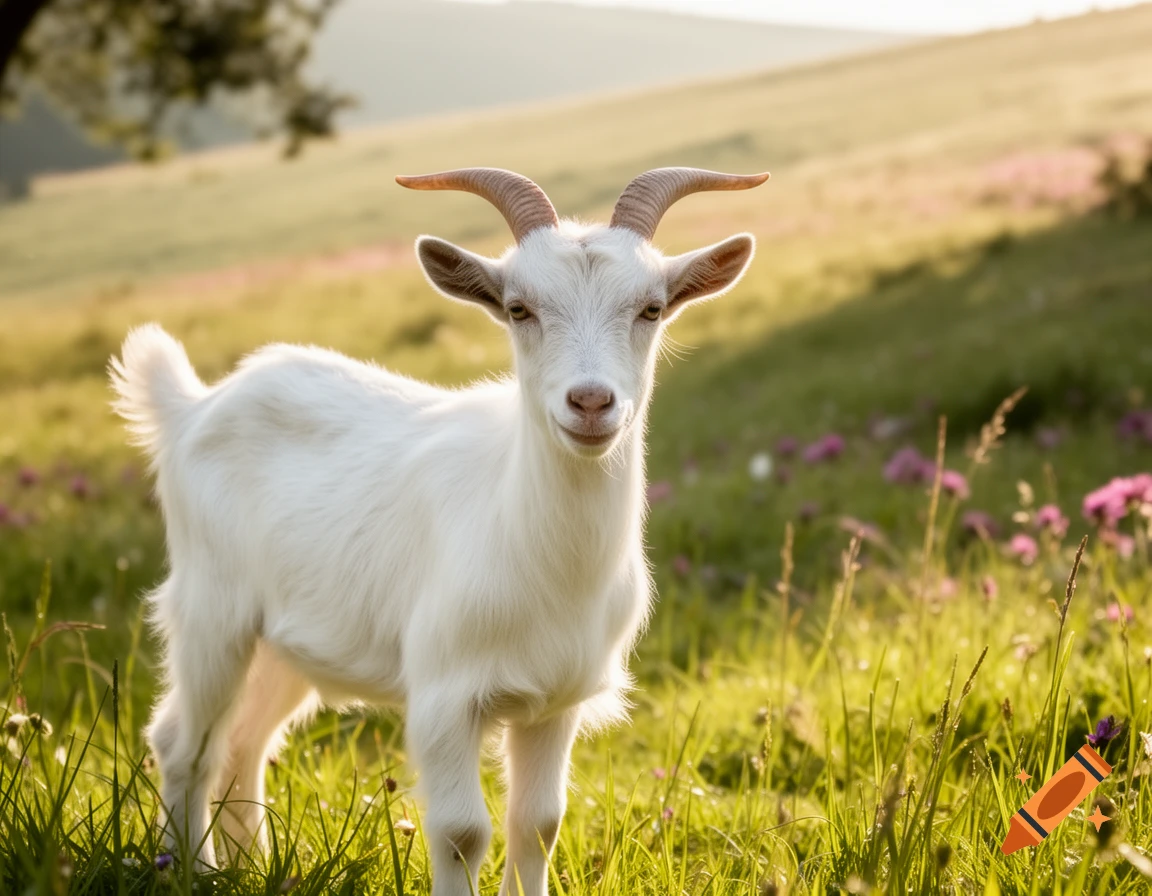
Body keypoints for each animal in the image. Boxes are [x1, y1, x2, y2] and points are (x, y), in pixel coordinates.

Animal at [110, 166, 768, 896]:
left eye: (651, 308)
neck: (534, 543)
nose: (591, 403)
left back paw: (249, 869)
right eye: (519, 308)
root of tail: (192, 407)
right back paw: (188, 870)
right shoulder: (444, 695)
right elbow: (461, 832)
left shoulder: (555, 701)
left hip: (283, 642)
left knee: (243, 744)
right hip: (213, 610)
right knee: (184, 744)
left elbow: (538, 822)